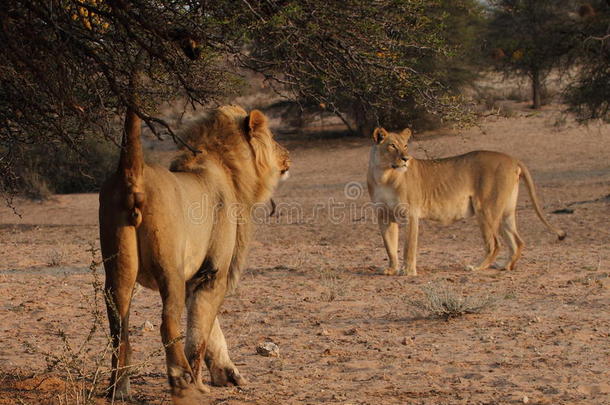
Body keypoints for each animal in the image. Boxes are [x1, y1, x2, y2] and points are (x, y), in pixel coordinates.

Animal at [98, 104, 288, 400]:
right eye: (272, 136)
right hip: (170, 270)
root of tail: (133, 174)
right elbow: (200, 332)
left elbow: (211, 330)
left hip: (118, 272)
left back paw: (118, 389)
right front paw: (201, 382)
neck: (226, 165)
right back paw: (182, 380)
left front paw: (228, 374)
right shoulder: (212, 273)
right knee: (167, 324)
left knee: (119, 330)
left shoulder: (195, 277)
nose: (286, 155)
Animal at [364, 128, 564, 276]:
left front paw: (407, 272)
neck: (384, 175)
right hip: (504, 212)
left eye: (405, 145)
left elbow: (408, 246)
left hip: (486, 209)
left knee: (495, 244)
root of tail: (513, 159)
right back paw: (505, 267)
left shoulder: (411, 214)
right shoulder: (384, 216)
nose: (406, 159)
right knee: (517, 241)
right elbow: (389, 245)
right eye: (392, 146)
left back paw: (476, 267)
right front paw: (391, 269)